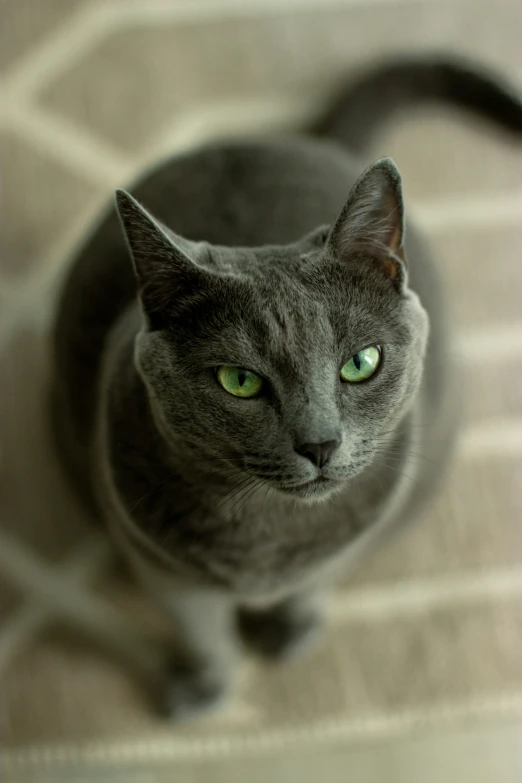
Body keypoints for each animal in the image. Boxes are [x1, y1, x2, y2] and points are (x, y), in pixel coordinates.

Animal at [50, 55, 520, 720]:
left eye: (361, 363)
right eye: (240, 381)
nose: (319, 445)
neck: (267, 536)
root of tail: (307, 141)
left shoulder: (349, 540)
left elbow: (314, 584)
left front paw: (289, 631)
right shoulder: (157, 564)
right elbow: (200, 628)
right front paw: (203, 685)